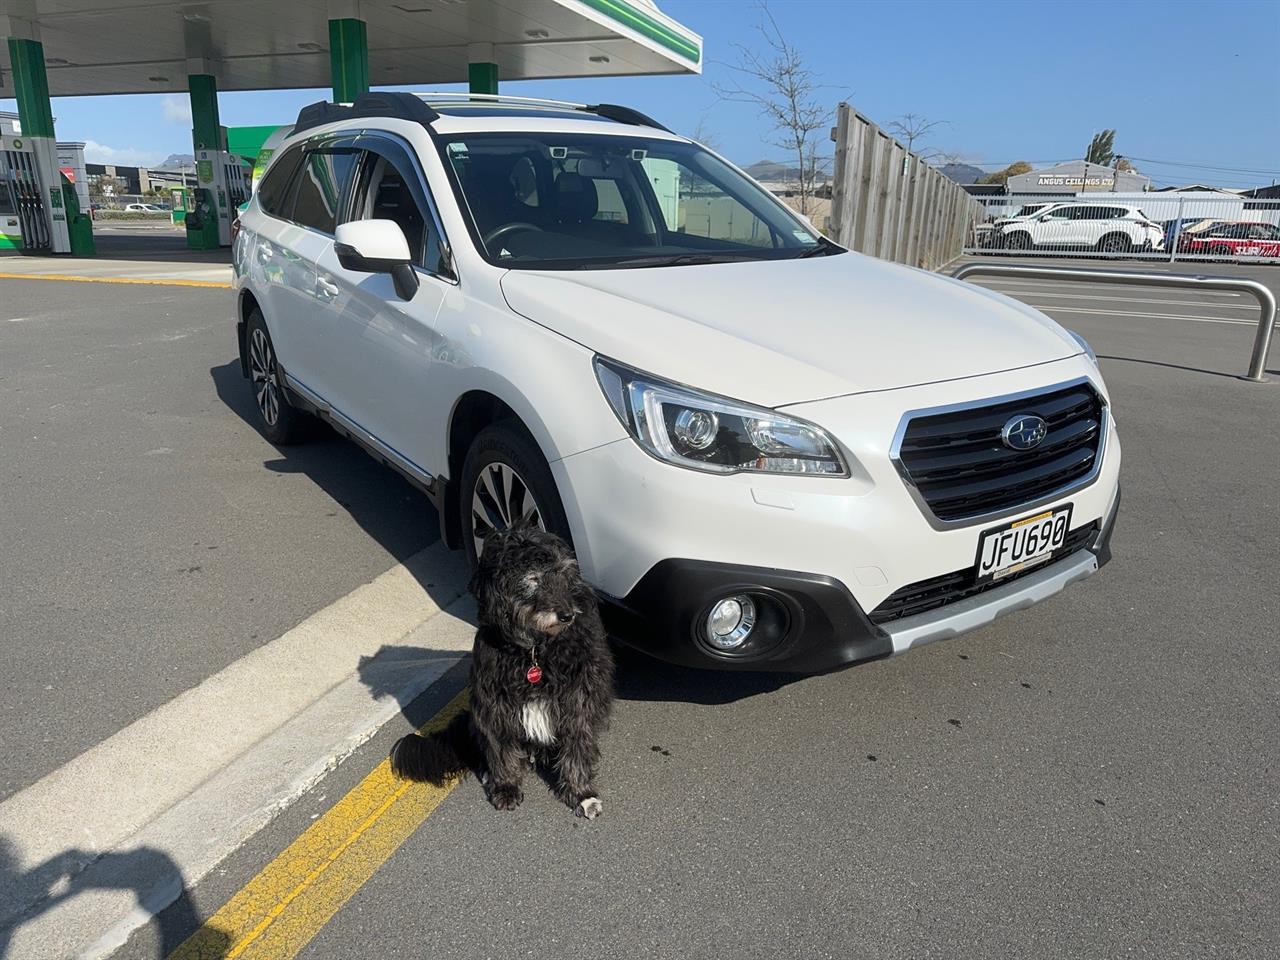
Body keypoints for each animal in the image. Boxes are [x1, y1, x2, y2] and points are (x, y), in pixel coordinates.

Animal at [386, 527, 611, 819]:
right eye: (532, 578)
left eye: (563, 573)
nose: (567, 614)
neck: (534, 652)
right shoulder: (495, 705)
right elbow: (502, 751)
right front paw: (505, 787)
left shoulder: (577, 702)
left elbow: (577, 750)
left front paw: (582, 794)